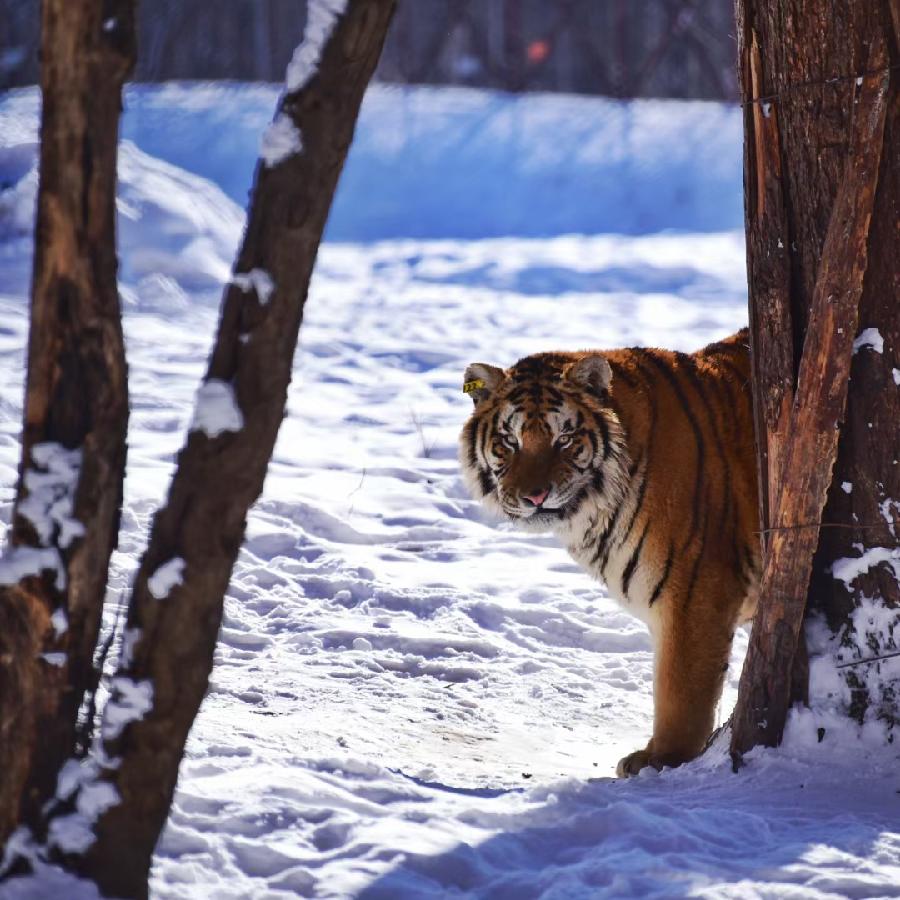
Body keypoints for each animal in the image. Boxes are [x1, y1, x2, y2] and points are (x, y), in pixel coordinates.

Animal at [459, 328, 760, 777]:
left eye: (564, 439)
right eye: (509, 441)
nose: (534, 497)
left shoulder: (699, 590)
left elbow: (681, 689)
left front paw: (662, 760)